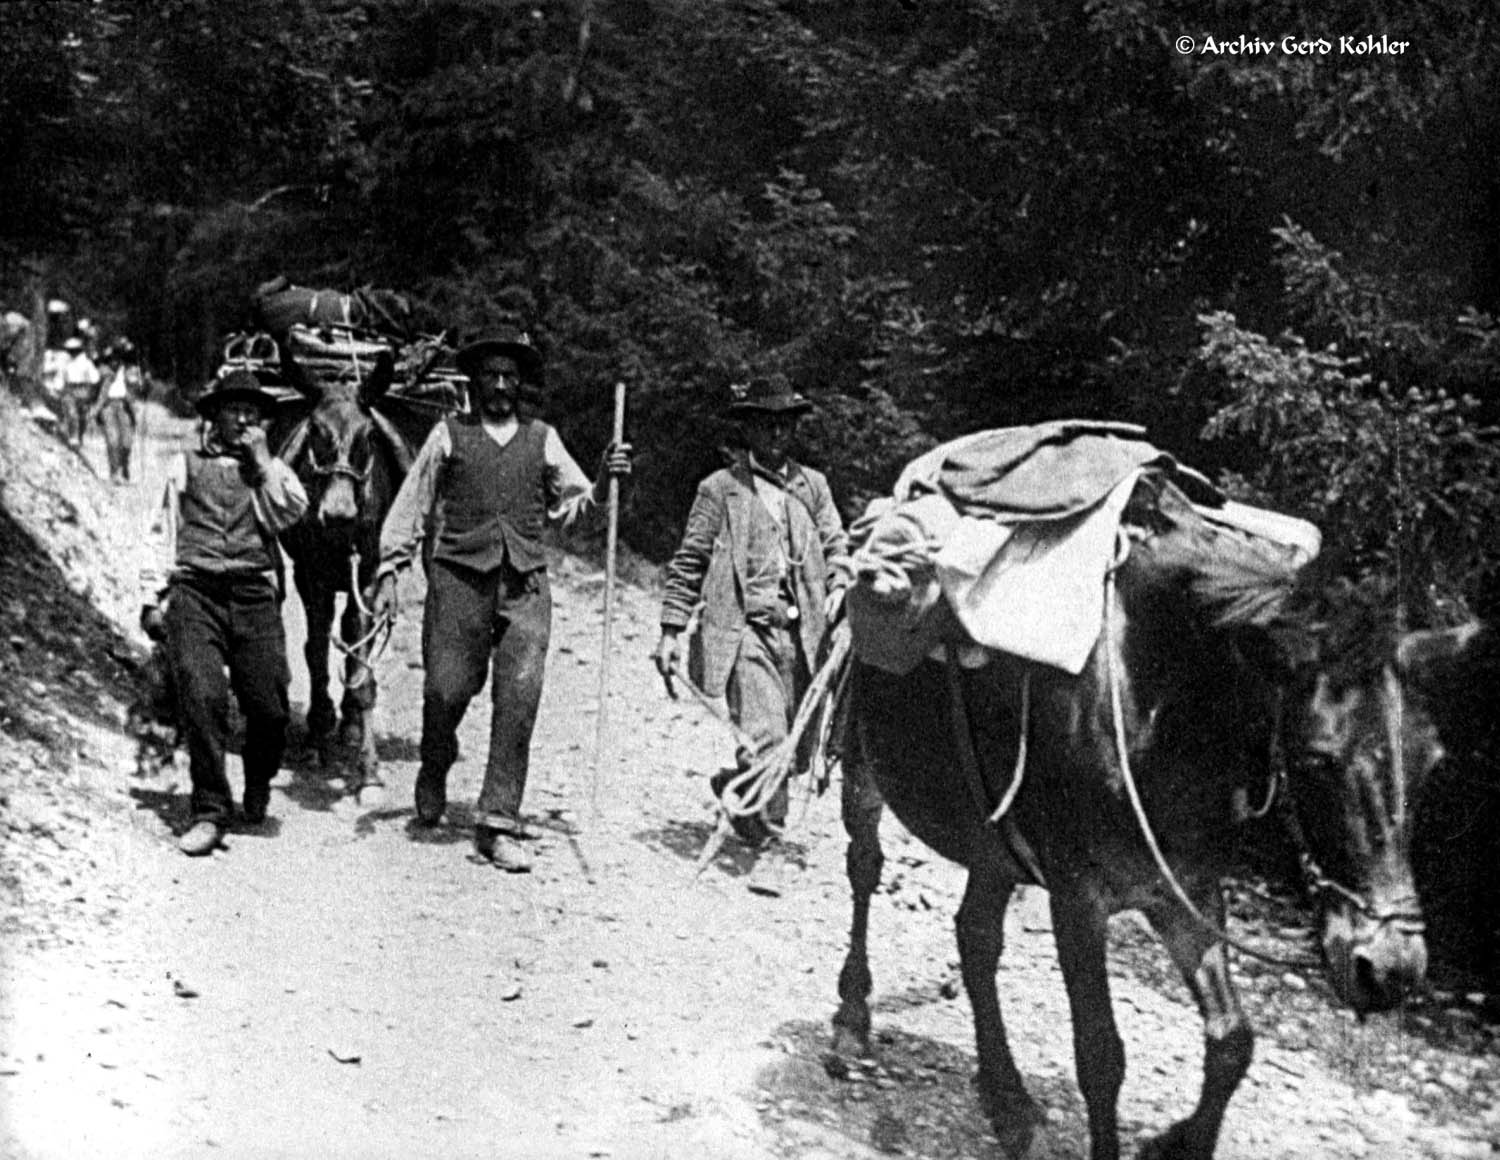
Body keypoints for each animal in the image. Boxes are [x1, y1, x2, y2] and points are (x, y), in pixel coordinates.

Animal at [840, 474, 1482, 1158]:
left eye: (1433, 763)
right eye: (1315, 759)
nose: (1390, 970)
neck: (1160, 708)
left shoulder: (1187, 891)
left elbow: (1232, 1042)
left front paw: (1175, 1143)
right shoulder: (1078, 898)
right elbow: (1101, 1055)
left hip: (995, 842)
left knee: (976, 937)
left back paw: (1012, 1108)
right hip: (862, 769)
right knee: (865, 868)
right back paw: (851, 1022)